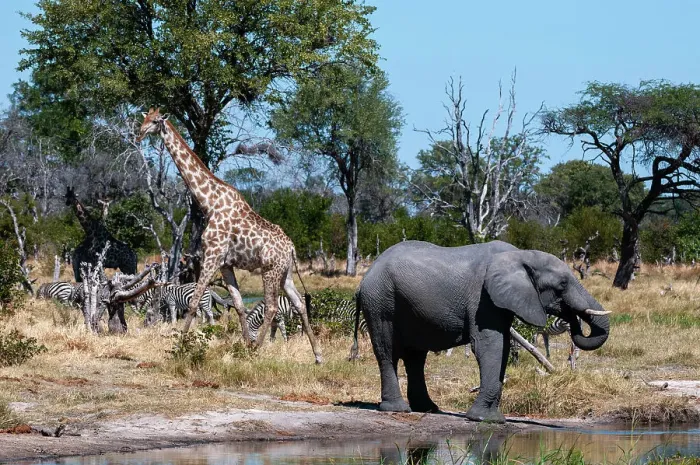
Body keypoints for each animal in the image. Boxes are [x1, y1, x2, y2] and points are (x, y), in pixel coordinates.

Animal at [137, 108, 322, 363]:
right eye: (144, 118)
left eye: (155, 121)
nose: (139, 133)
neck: (209, 203)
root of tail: (291, 248)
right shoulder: (225, 264)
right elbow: (239, 304)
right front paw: (244, 344)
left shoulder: (211, 256)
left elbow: (194, 302)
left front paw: (180, 347)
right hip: (286, 273)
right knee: (300, 303)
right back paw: (317, 355)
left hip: (270, 271)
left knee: (273, 307)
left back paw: (258, 349)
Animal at [352, 240, 610, 423]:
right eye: (562, 285)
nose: (573, 318)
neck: (521, 255)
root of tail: (367, 274)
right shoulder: (482, 299)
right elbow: (490, 346)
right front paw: (482, 419)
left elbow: (503, 348)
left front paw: (493, 419)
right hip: (380, 302)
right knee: (387, 351)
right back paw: (398, 409)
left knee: (416, 357)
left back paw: (428, 408)